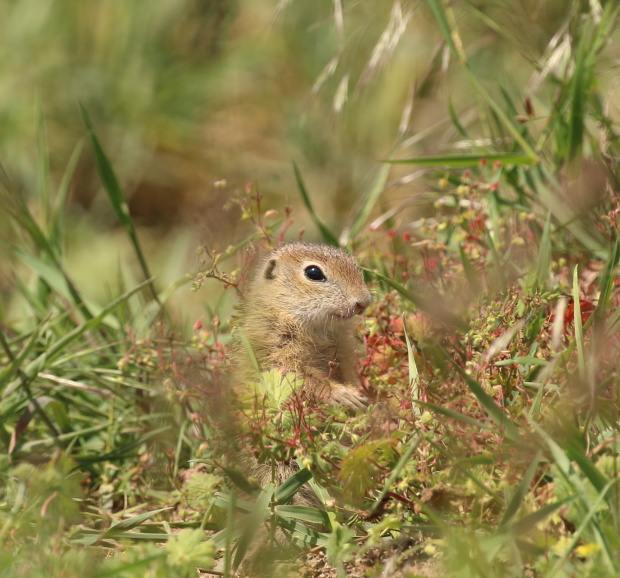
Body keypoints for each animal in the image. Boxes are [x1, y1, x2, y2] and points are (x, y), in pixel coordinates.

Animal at [234, 241, 370, 408]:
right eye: (314, 273)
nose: (364, 302)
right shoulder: (275, 350)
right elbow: (302, 378)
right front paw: (343, 394)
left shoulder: (344, 352)